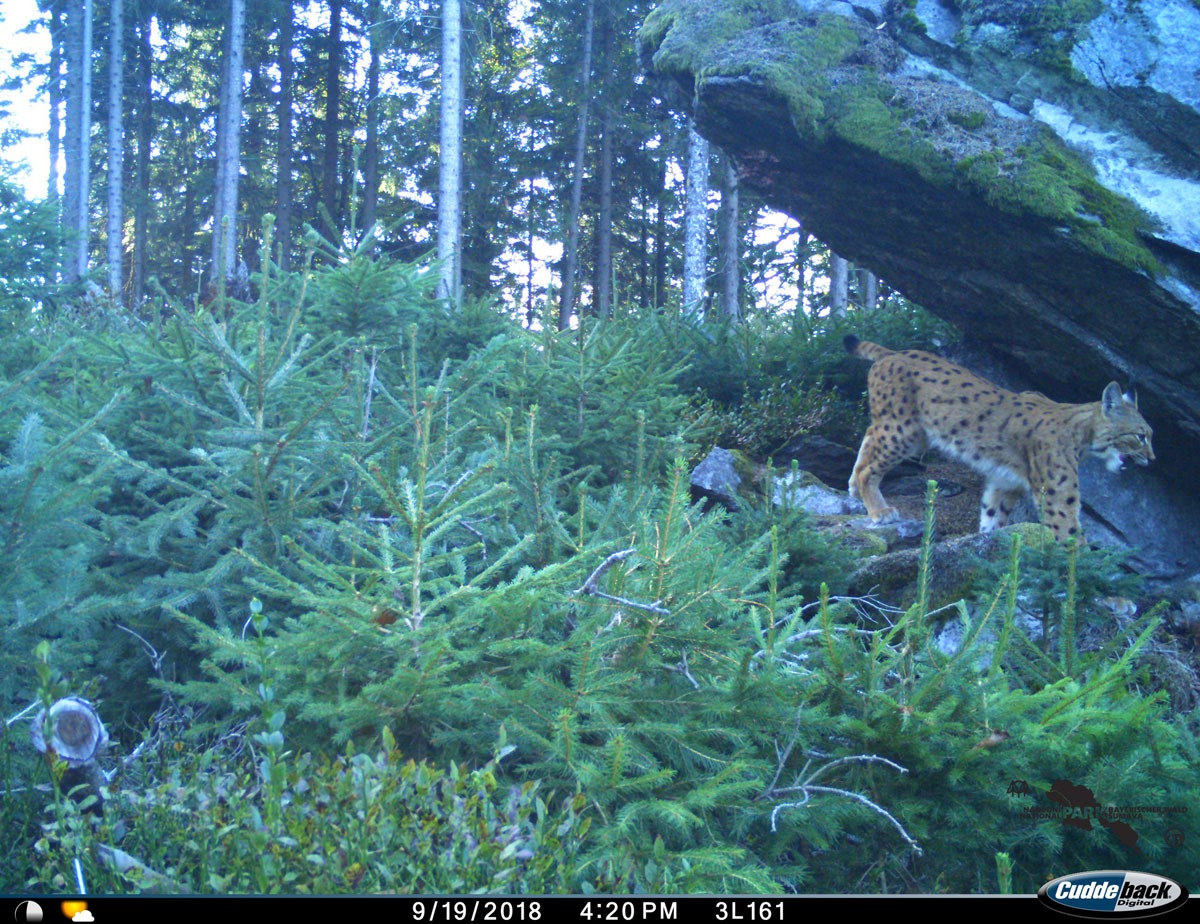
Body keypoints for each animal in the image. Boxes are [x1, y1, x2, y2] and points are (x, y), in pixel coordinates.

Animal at [843, 335, 1155, 542]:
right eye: (1140, 436)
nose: (1152, 460)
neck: (1084, 437)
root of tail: (893, 352)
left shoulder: (1005, 480)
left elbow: (992, 516)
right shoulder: (1056, 494)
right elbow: (1070, 535)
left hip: (910, 431)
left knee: (868, 437)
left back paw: (855, 490)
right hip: (904, 430)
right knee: (871, 466)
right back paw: (880, 510)